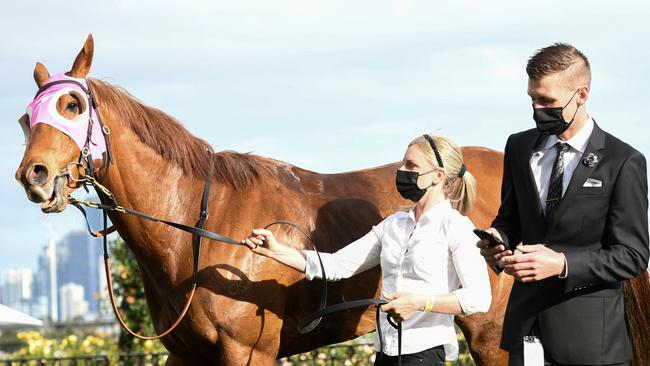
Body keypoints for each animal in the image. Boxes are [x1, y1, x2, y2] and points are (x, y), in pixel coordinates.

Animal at [13, 35, 648, 366]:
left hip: (494, 334)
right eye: (25, 117)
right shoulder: (187, 356)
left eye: (71, 106)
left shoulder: (249, 354)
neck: (202, 226)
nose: (33, 175)